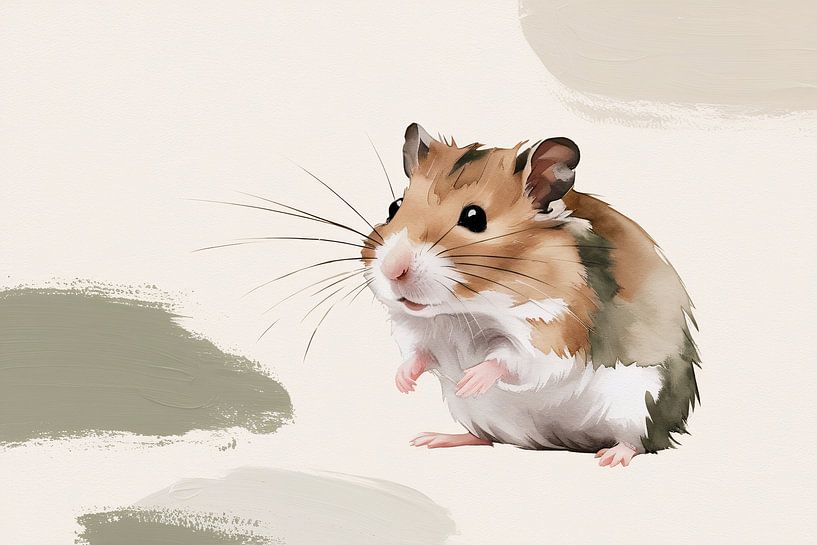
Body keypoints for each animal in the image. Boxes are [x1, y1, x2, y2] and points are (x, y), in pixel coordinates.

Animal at [361, 123, 700, 467]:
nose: (393, 270)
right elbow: (417, 355)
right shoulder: (417, 332)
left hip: (636, 405)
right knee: (485, 437)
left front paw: (470, 379)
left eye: (474, 217)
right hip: (475, 414)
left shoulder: (552, 331)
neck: (461, 312)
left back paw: (611, 457)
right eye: (394, 208)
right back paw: (434, 439)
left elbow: (511, 358)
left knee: (639, 442)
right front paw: (404, 383)